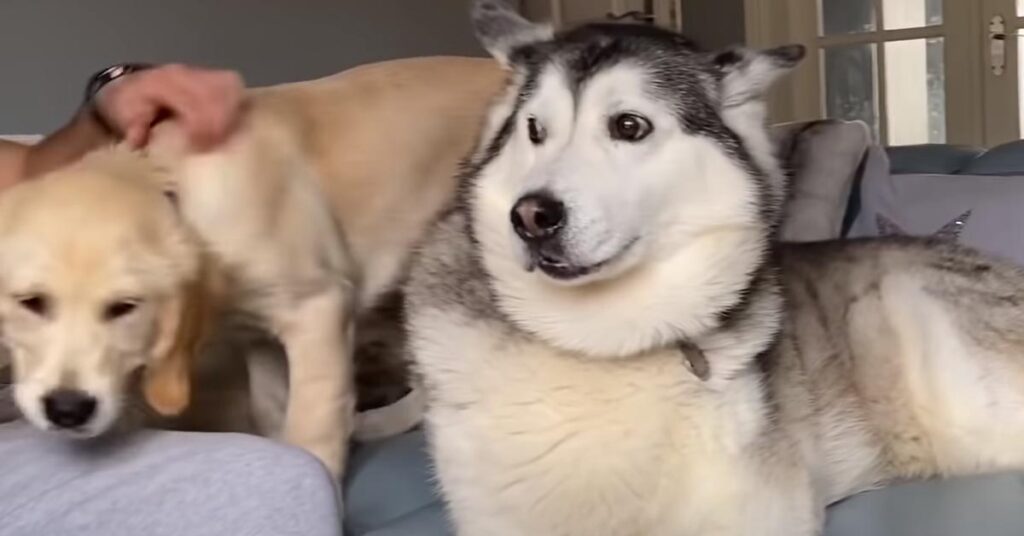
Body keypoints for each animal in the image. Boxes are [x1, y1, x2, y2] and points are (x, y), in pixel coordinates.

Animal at [0, 56, 503, 479]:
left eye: (125, 307)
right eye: (30, 302)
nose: (68, 410)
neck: (179, 187)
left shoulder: (319, 311)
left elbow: (311, 434)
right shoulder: (257, 337)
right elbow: (271, 413)